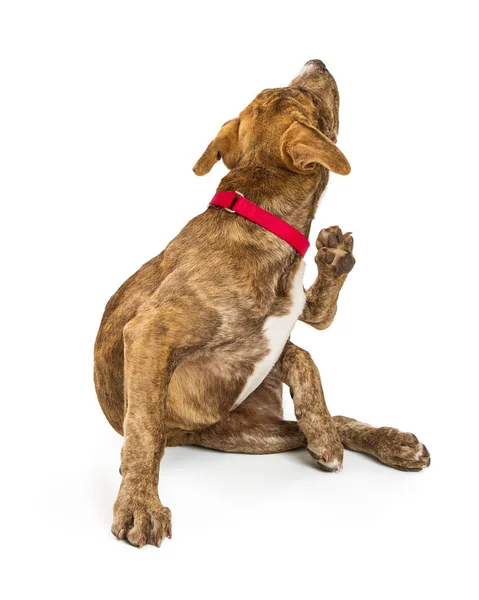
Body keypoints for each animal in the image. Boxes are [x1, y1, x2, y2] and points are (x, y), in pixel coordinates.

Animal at [94, 59, 432, 548]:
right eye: (309, 98)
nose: (317, 61)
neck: (258, 213)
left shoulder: (297, 308)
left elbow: (312, 338)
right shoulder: (149, 331)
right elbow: (142, 429)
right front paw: (140, 503)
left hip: (257, 431)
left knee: (326, 412)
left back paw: (377, 440)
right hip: (242, 434)